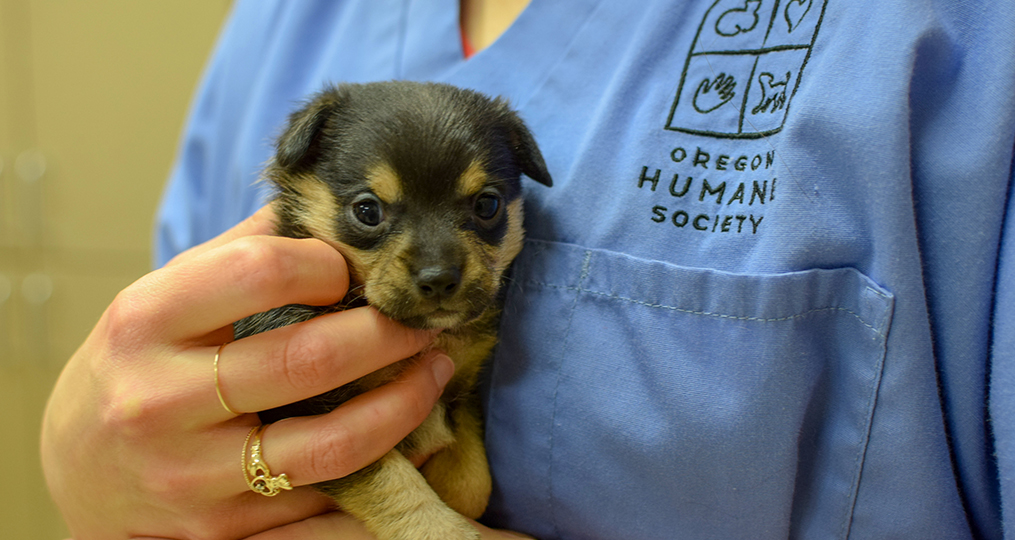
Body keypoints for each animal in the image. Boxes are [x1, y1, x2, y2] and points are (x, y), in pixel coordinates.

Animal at [233, 81, 552, 540]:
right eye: (368, 210)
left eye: (487, 205)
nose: (439, 278)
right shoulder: (318, 420)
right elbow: (393, 484)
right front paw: (446, 530)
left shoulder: (460, 388)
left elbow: (472, 478)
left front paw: (456, 496)